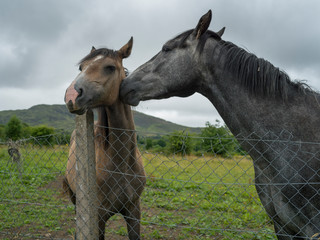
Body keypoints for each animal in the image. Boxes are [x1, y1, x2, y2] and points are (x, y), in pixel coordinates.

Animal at [63, 36, 146, 239]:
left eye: (110, 67)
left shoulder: (134, 211)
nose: (71, 95)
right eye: (81, 67)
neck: (120, 166)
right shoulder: (98, 217)